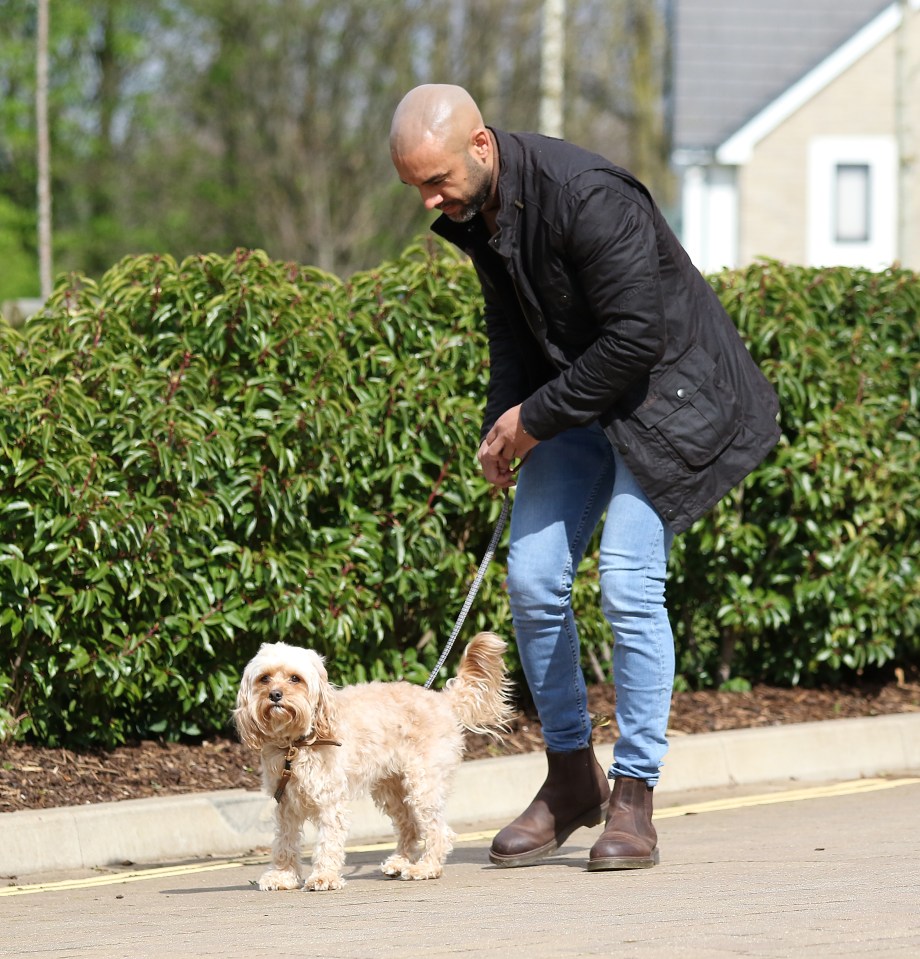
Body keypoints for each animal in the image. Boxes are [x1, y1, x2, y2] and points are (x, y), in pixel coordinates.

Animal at [234, 632, 512, 892]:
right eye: (265, 678)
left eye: (295, 678)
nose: (275, 694)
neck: (296, 743)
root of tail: (441, 699)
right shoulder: (286, 803)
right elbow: (285, 841)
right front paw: (283, 875)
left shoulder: (329, 801)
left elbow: (327, 841)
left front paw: (324, 876)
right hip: (390, 788)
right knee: (409, 825)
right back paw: (399, 862)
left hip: (423, 783)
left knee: (437, 830)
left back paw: (426, 867)